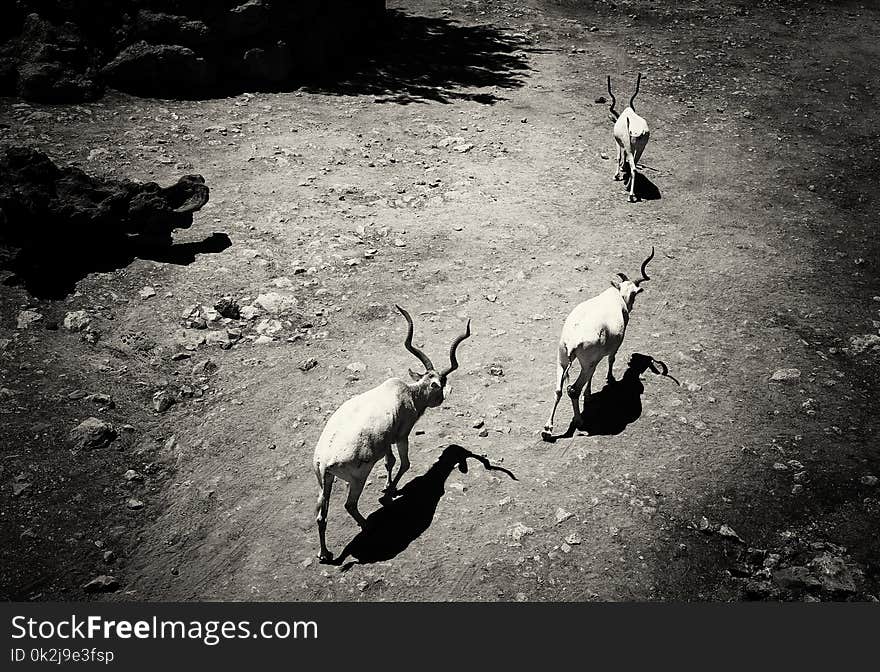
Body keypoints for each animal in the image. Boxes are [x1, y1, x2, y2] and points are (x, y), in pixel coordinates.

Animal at [312, 304, 470, 560]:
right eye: (440, 384)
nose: (441, 399)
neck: (409, 393)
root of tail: (325, 460)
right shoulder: (401, 436)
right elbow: (404, 463)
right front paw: (389, 491)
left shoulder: (385, 442)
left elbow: (389, 462)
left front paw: (388, 486)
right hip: (358, 478)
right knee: (349, 505)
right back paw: (367, 525)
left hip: (324, 480)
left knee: (321, 514)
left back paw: (324, 554)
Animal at [540, 247, 656, 436]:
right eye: (634, 294)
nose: (630, 305)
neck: (617, 296)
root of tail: (573, 341)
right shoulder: (613, 347)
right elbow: (611, 360)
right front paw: (610, 379)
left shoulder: (594, 360)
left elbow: (593, 374)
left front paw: (589, 394)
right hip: (583, 364)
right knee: (573, 390)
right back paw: (579, 420)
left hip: (563, 360)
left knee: (559, 389)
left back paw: (547, 428)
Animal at [608, 74, 648, 202]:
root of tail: (641, 131)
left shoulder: (618, 142)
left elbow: (618, 157)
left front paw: (616, 175)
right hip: (640, 149)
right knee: (634, 165)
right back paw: (628, 187)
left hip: (630, 147)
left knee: (633, 168)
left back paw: (630, 195)